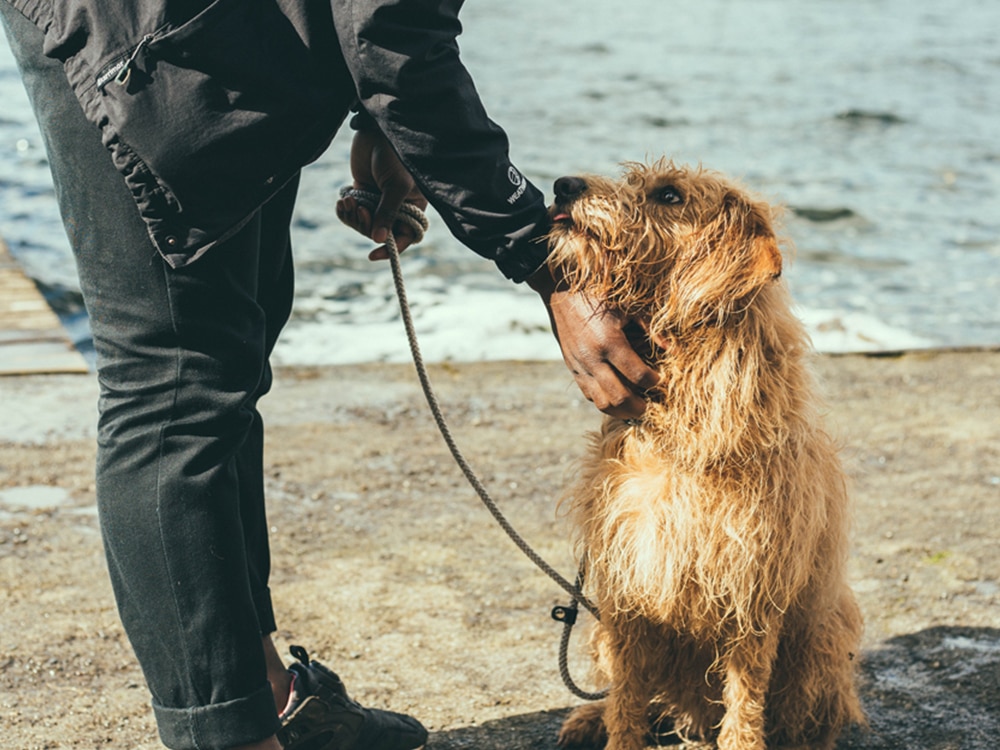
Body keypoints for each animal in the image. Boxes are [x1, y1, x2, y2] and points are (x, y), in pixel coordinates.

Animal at [548, 162, 868, 748]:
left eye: (669, 195)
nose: (563, 185)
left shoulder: (751, 594)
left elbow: (744, 703)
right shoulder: (629, 585)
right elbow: (626, 699)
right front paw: (615, 729)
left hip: (823, 636)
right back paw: (589, 717)